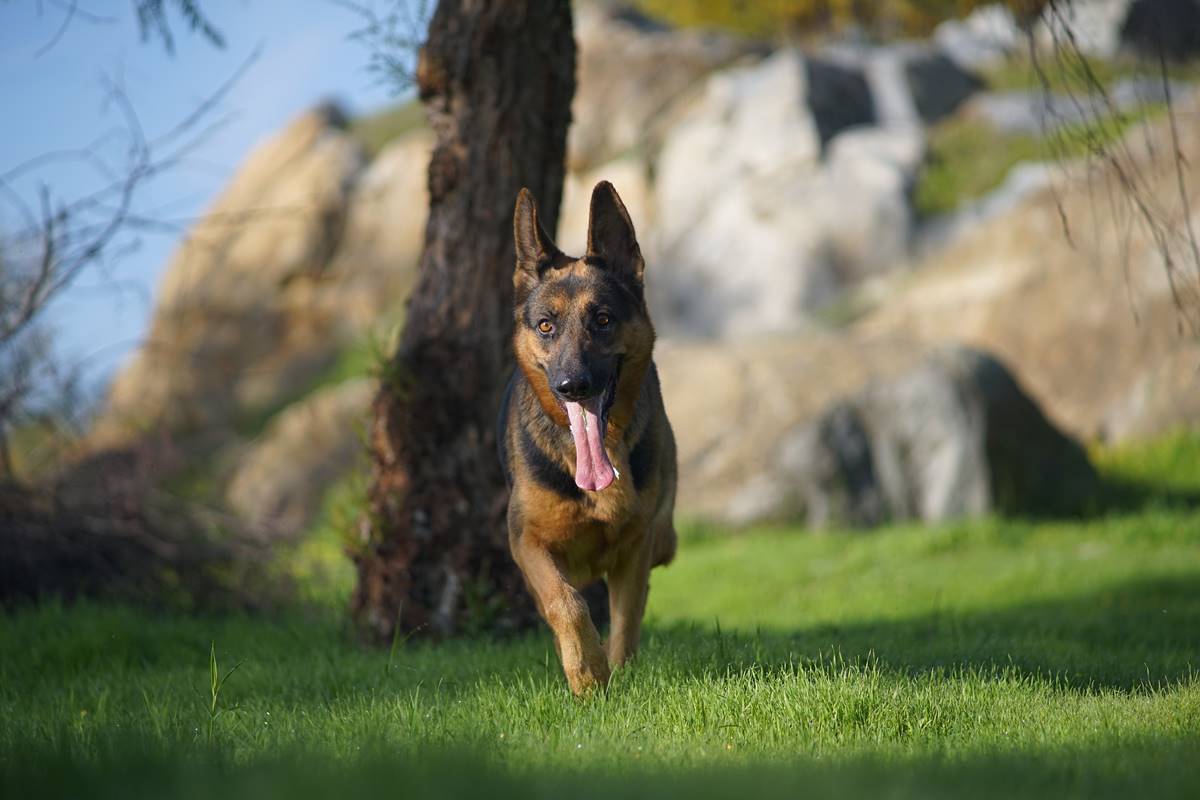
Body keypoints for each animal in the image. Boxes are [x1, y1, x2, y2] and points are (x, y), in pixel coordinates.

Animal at [496, 181, 676, 695]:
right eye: (545, 326)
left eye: (603, 320)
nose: (572, 386)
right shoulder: (526, 542)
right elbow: (567, 603)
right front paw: (588, 673)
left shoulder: (635, 547)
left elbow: (627, 619)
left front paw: (616, 670)